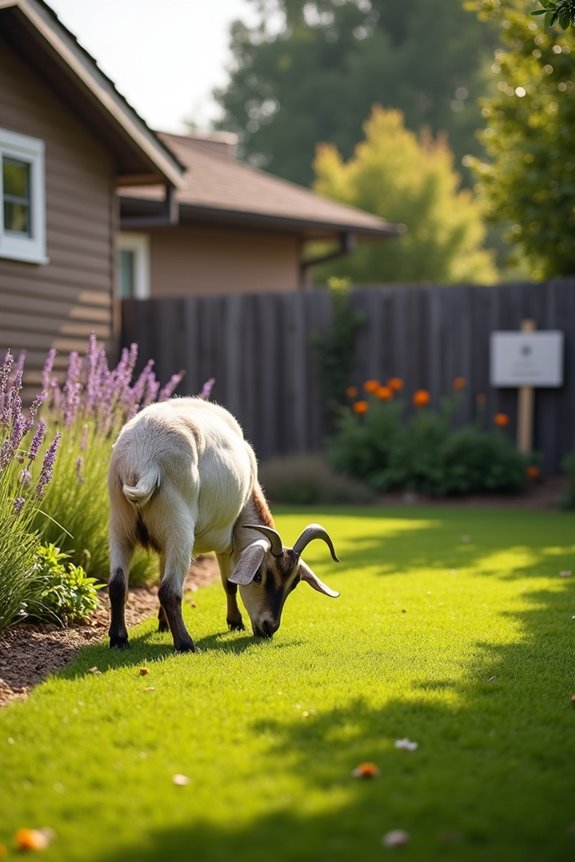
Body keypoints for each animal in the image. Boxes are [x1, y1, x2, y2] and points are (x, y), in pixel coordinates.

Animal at [107, 397, 340, 651]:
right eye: (259, 576)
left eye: (294, 583)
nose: (269, 627)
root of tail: (145, 458)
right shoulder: (227, 539)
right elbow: (229, 583)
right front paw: (235, 622)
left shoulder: (162, 546)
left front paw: (162, 624)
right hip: (179, 528)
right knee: (170, 590)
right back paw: (186, 644)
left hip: (120, 526)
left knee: (118, 583)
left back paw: (119, 639)